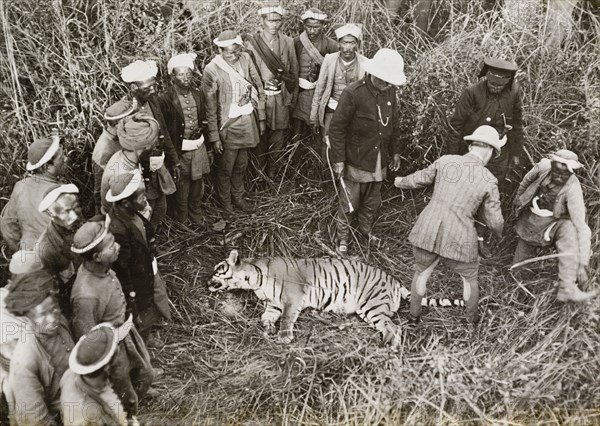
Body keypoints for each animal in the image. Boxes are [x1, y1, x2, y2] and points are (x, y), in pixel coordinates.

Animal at [207, 250, 464, 346]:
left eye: (218, 269)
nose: (207, 282)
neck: (256, 280)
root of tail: (395, 281)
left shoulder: (292, 298)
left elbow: (287, 319)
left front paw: (284, 337)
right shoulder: (273, 304)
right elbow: (266, 316)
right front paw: (268, 328)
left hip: (373, 306)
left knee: (395, 328)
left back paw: (388, 347)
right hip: (368, 311)